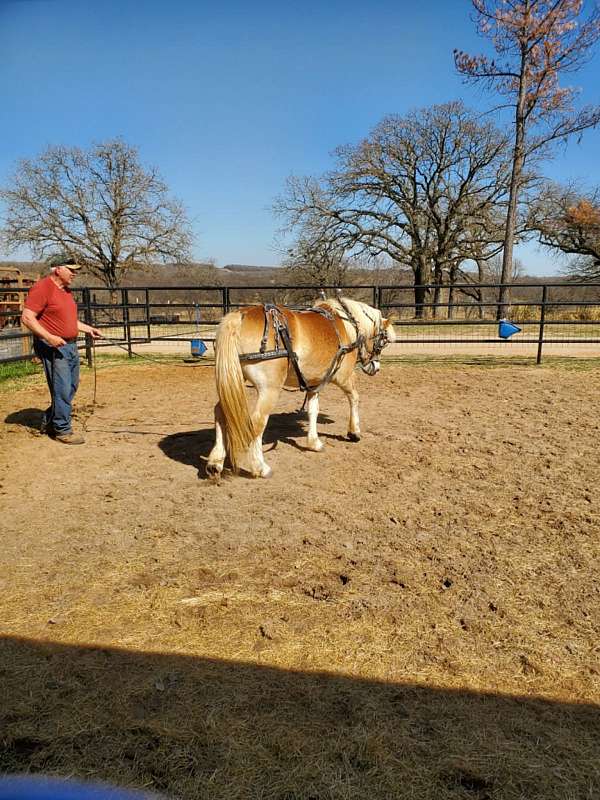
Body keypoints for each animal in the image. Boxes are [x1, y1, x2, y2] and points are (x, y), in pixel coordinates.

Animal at [206, 296, 396, 478]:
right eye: (384, 341)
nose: (375, 368)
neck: (347, 324)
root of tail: (240, 316)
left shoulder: (314, 382)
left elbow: (313, 410)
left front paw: (314, 443)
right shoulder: (344, 377)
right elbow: (354, 398)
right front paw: (354, 432)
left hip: (233, 378)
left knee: (221, 412)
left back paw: (216, 461)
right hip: (269, 390)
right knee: (257, 421)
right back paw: (260, 467)